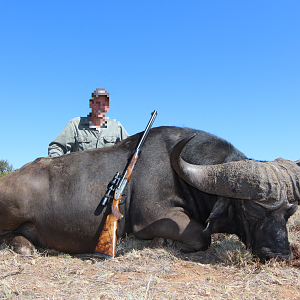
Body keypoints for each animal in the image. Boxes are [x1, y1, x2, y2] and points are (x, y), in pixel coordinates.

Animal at [0, 125, 296, 262]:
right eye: (251, 210)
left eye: (289, 212)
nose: (278, 254)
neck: (182, 172)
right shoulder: (153, 219)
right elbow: (202, 238)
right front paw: (158, 243)